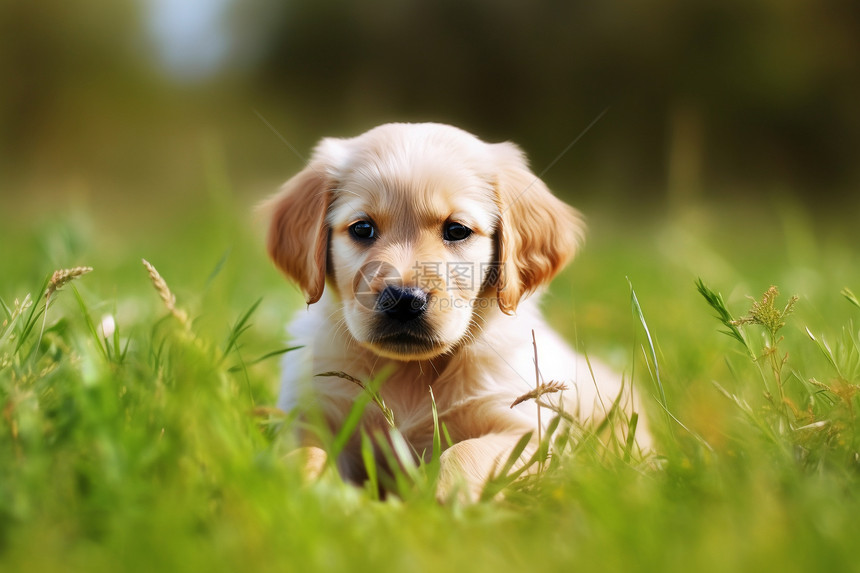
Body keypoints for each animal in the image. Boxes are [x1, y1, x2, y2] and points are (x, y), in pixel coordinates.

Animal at [266, 123, 648, 498]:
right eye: (362, 228)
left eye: (457, 230)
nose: (403, 299)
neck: (410, 374)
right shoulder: (309, 411)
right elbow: (304, 453)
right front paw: (299, 491)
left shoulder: (529, 432)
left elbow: (465, 452)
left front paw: (443, 500)